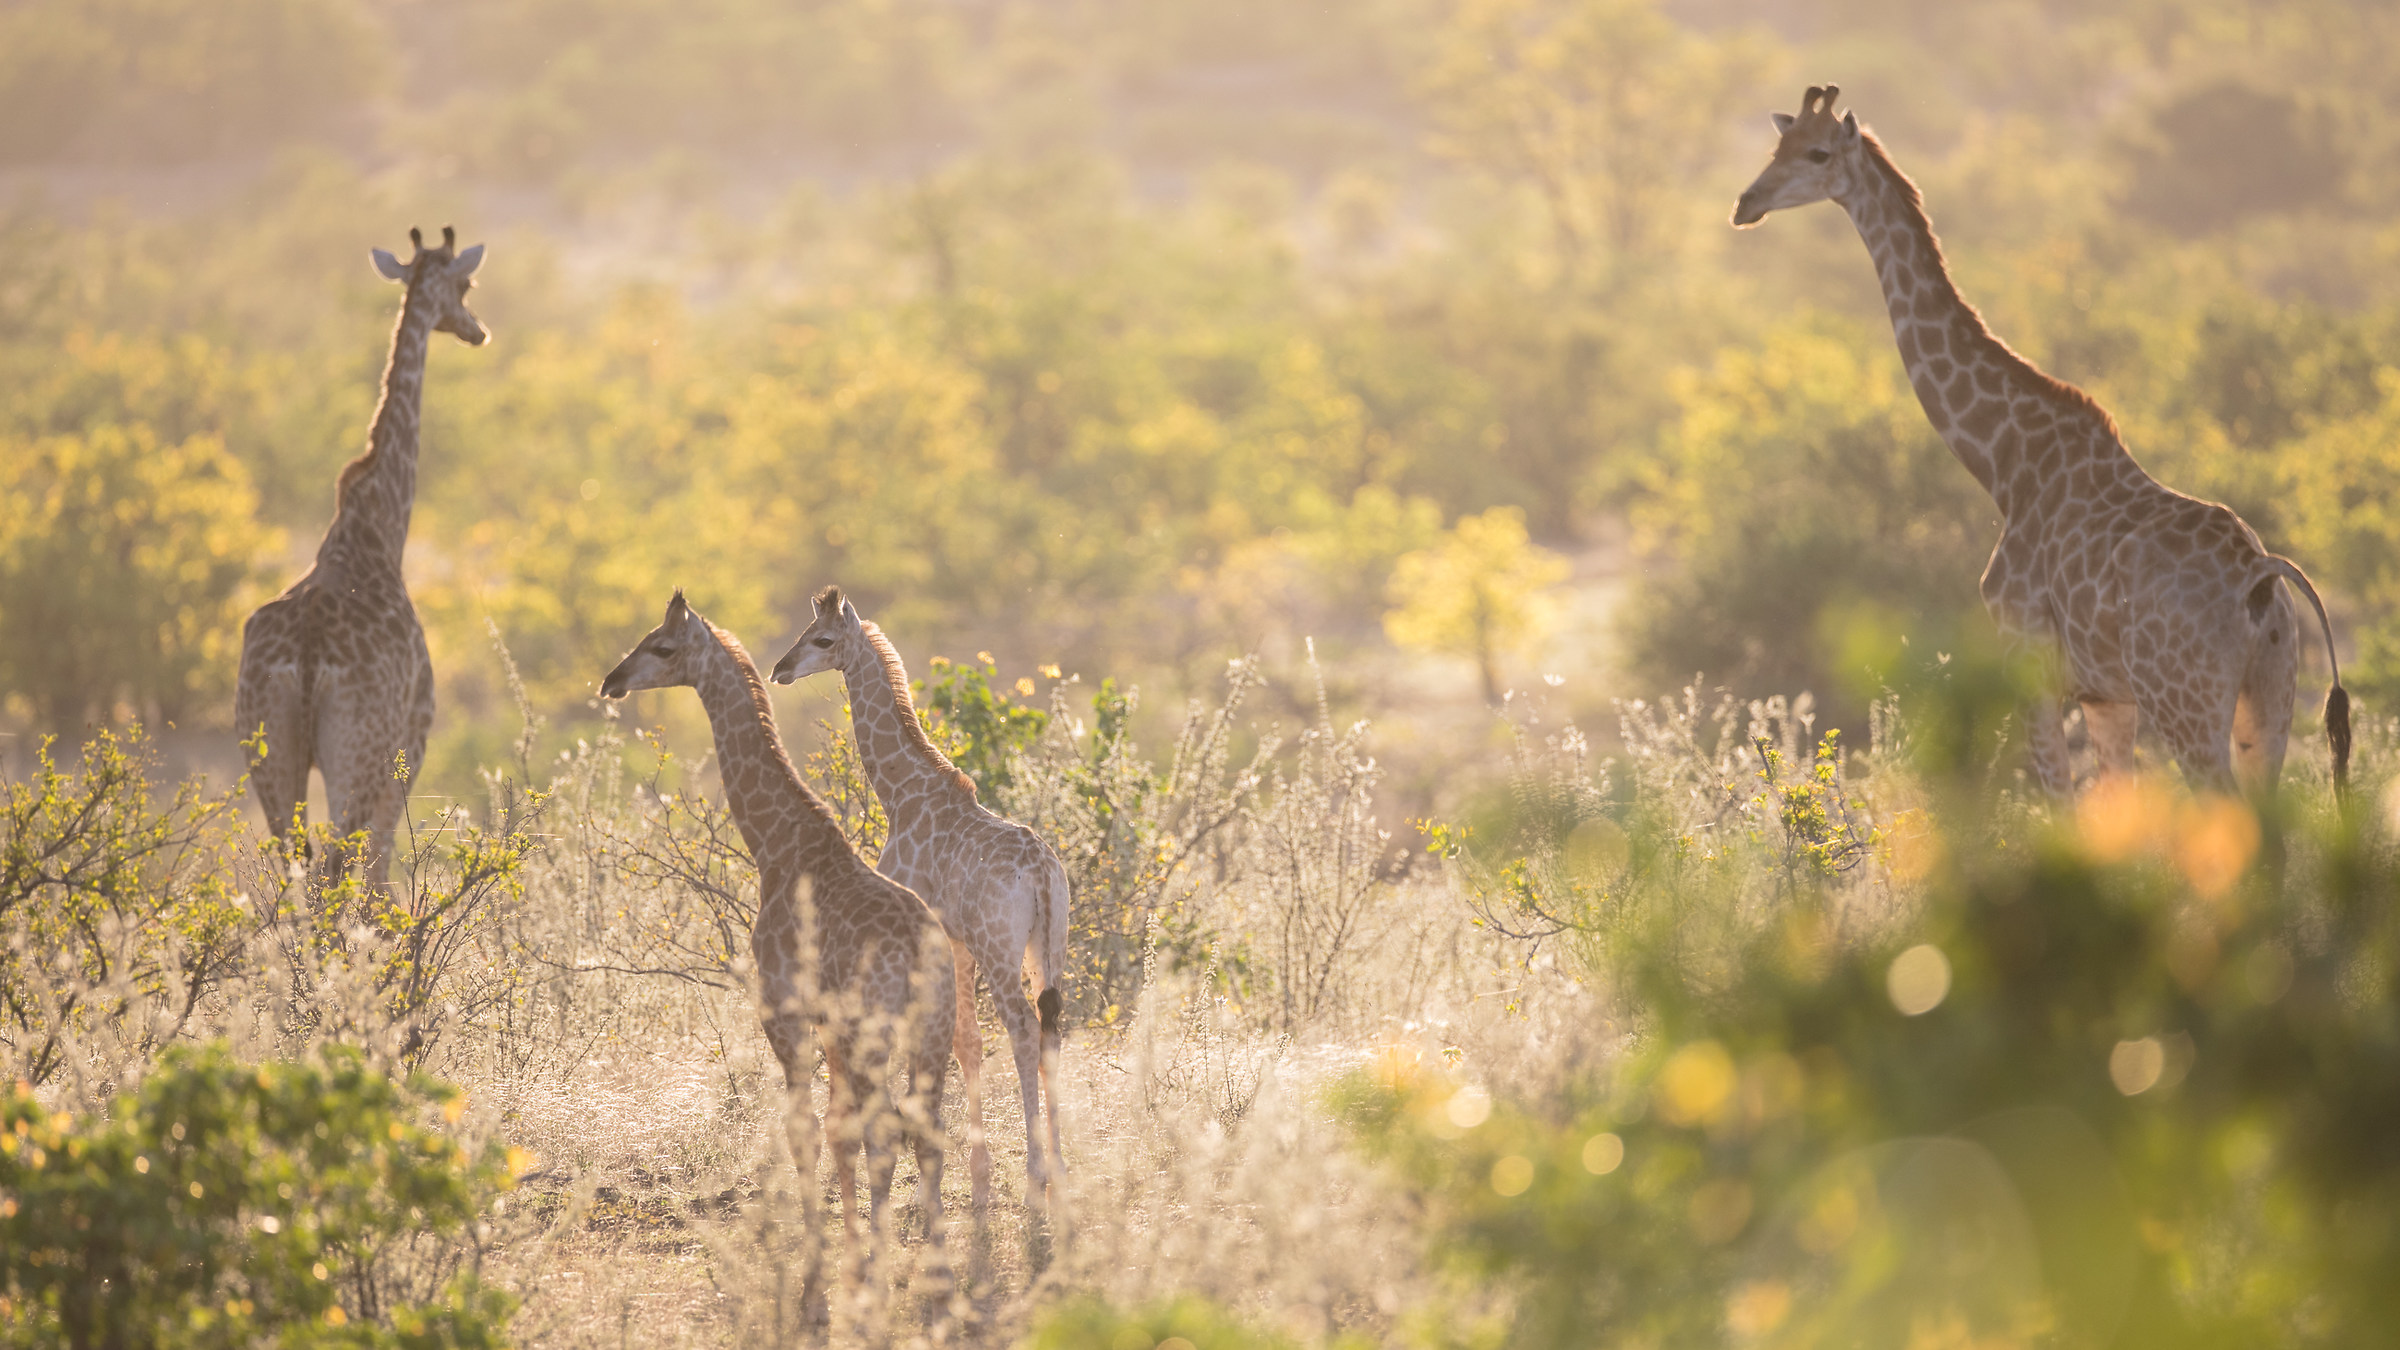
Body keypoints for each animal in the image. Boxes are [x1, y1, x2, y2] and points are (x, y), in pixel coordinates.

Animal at [235, 227, 488, 885]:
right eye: (466, 283)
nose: (477, 330)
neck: (380, 525)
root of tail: (306, 658)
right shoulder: (414, 739)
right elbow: (380, 864)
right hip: (360, 755)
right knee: (335, 868)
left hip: (267, 755)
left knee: (295, 870)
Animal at [601, 591, 953, 1249]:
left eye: (662, 647)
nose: (612, 680)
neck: (776, 845)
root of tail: (924, 963)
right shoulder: (826, 1025)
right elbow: (838, 1129)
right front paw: (848, 1233)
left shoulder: (782, 1009)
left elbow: (807, 1128)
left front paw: (822, 1240)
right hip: (931, 1033)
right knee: (925, 1130)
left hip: (874, 1034)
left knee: (887, 1129)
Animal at [769, 585, 1069, 1212]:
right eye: (805, 631)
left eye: (823, 639)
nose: (780, 669)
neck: (902, 793)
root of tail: (1041, 873)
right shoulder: (953, 937)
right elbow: (965, 1042)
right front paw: (975, 1177)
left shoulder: (937, 931)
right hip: (1050, 945)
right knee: (1052, 1027)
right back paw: (1061, 1171)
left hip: (1001, 949)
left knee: (1023, 1029)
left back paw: (1036, 1175)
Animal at [1732, 86, 2349, 798]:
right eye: (1775, 145)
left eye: (1818, 153)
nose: (1745, 204)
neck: (2005, 462)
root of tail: (2261, 577)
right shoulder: (2106, 697)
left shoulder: (2027, 667)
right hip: (2269, 705)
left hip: (2186, 706)